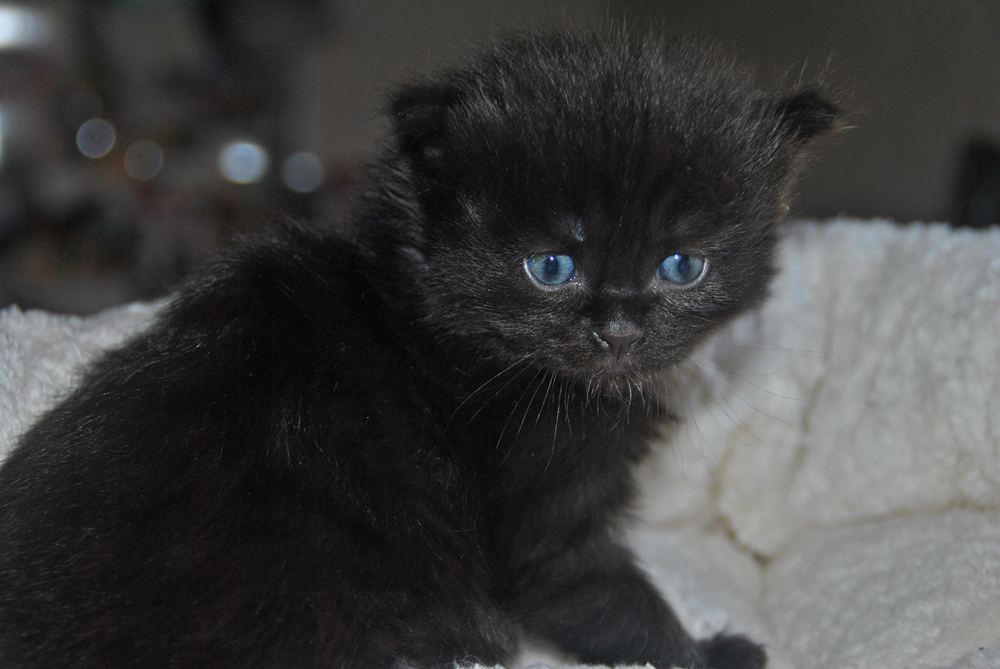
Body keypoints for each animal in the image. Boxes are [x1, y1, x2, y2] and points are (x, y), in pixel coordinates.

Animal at [0, 28, 836, 664]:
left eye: (683, 266)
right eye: (551, 267)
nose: (621, 326)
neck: (417, 326)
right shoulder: (541, 514)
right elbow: (607, 599)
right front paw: (708, 651)